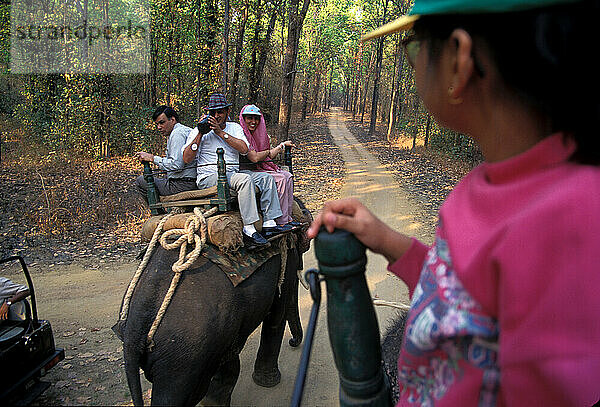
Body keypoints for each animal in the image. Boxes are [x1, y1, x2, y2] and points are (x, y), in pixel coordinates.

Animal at [115, 234, 308, 406]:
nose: (292, 342)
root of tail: (136, 323)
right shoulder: (287, 260)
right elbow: (277, 313)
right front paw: (269, 382)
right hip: (185, 356)